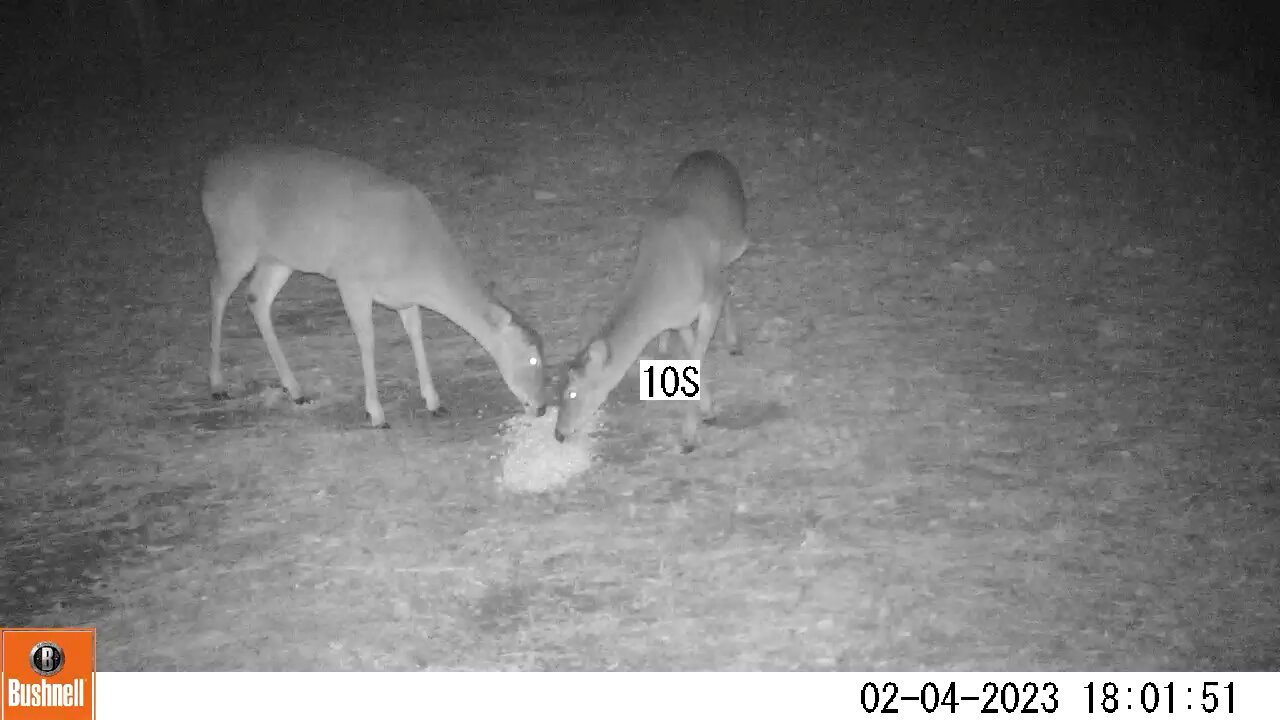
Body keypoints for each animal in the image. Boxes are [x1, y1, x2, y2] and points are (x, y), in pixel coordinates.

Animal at [201, 144, 546, 429]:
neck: (417, 254)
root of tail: (208, 178)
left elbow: (416, 332)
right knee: (217, 290)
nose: (542, 407)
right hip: (235, 242)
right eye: (532, 357)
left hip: (278, 257)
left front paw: (434, 402)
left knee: (256, 298)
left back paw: (296, 390)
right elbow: (367, 340)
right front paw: (376, 414)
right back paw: (218, 385)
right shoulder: (352, 279)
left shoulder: (404, 295)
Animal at [554, 150, 748, 453]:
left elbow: (697, 354)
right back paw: (664, 346)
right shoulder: (680, 318)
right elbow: (692, 359)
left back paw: (733, 342)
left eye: (573, 391)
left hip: (736, 242)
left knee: (728, 284)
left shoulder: (707, 300)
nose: (559, 433)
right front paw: (707, 411)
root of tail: (712, 153)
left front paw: (689, 436)